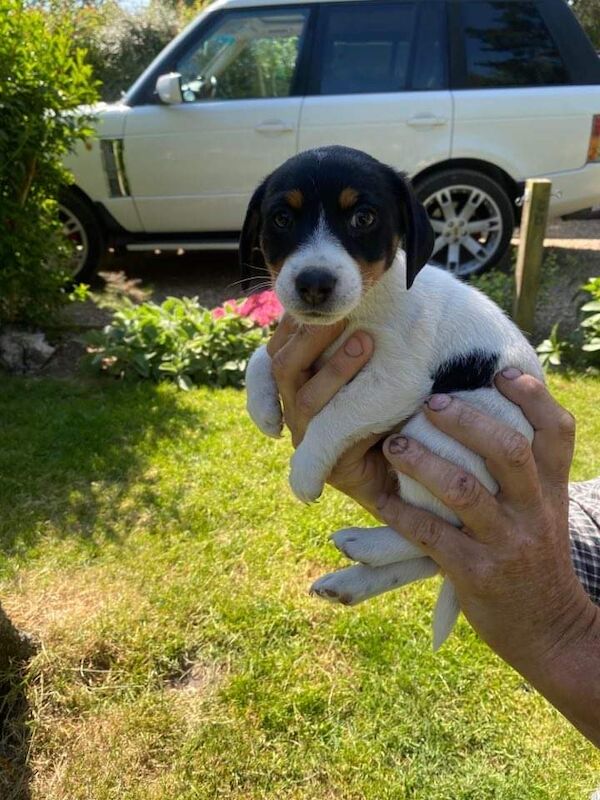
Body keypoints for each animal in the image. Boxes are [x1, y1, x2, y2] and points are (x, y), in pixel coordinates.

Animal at [240, 145, 544, 648]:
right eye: (282, 218)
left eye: (363, 217)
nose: (313, 283)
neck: (365, 303)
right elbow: (260, 355)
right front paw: (262, 406)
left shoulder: (395, 381)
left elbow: (334, 414)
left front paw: (304, 469)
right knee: (430, 555)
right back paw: (350, 580)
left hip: (432, 434)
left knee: (440, 533)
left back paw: (365, 544)